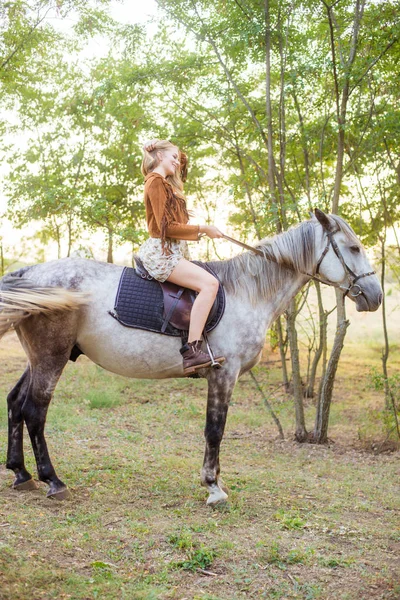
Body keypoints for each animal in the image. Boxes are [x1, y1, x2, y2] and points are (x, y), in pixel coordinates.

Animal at [0, 211, 382, 506]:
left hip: (38, 358)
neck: (247, 292)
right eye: (353, 248)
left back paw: (21, 474)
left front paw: (216, 483)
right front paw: (213, 487)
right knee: (35, 411)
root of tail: (29, 273)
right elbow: (215, 430)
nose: (375, 296)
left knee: (16, 402)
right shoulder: (223, 374)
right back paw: (53, 481)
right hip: (51, 357)